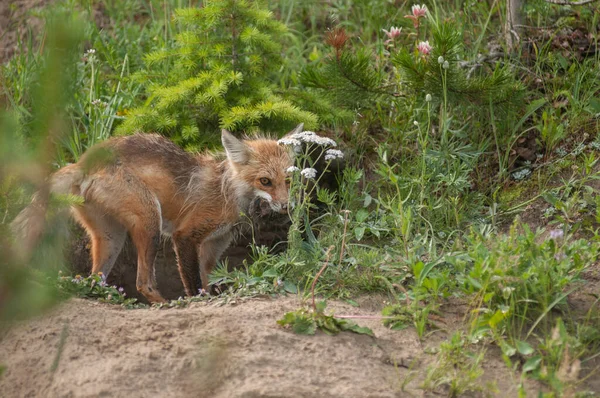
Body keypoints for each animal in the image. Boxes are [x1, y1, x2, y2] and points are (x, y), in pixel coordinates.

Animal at [9, 126, 300, 304]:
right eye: (265, 181)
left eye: (288, 180)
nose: (287, 207)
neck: (229, 191)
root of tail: (82, 162)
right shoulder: (185, 236)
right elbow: (194, 285)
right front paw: (194, 303)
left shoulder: (213, 245)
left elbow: (205, 281)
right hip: (151, 221)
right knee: (143, 283)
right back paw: (165, 304)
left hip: (111, 238)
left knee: (94, 279)